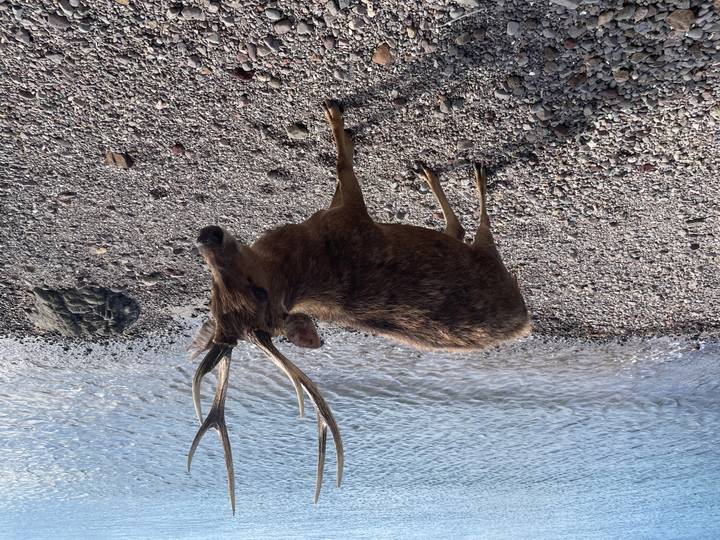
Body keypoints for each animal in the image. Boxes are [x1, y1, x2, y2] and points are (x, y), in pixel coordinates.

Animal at [187, 100, 531, 514]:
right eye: (218, 300)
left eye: (257, 291)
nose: (209, 237)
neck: (306, 259)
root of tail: (524, 321)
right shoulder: (349, 215)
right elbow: (344, 166)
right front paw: (337, 118)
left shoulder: (346, 215)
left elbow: (342, 168)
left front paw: (336, 120)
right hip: (487, 263)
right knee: (471, 231)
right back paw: (458, 176)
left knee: (467, 230)